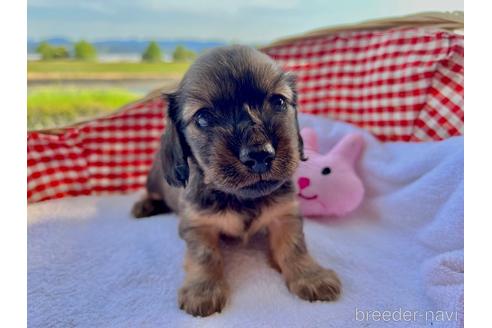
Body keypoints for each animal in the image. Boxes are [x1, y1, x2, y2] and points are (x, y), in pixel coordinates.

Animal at [131, 44, 340, 316]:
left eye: (279, 102)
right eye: (203, 117)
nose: (260, 154)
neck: (241, 198)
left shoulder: (285, 214)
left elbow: (294, 246)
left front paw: (310, 276)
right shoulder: (197, 224)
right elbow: (205, 256)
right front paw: (203, 290)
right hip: (154, 181)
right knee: (151, 194)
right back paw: (144, 206)